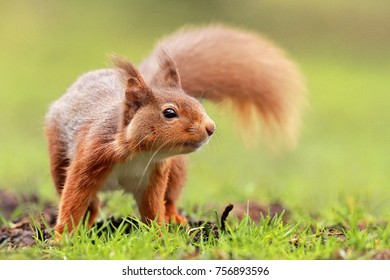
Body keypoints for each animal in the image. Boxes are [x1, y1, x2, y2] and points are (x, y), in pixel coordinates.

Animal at [45, 24, 306, 234]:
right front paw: (62, 238)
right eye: (169, 113)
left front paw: (158, 235)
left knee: (169, 198)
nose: (210, 127)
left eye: (197, 102)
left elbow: (153, 207)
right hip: (58, 159)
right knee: (89, 201)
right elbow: (74, 199)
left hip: (177, 168)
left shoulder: (155, 176)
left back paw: (174, 217)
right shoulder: (90, 158)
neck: (139, 153)